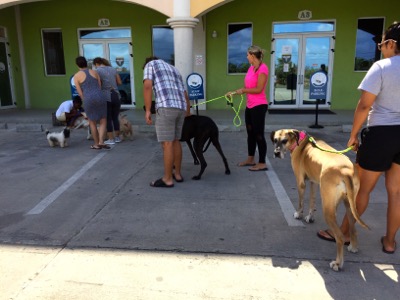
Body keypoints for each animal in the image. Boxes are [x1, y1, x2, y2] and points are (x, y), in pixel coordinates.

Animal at [270, 129, 368, 272]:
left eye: (284, 141)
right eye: (275, 140)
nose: (276, 153)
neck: (300, 142)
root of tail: (345, 171)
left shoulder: (300, 183)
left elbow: (301, 202)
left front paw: (298, 214)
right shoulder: (313, 182)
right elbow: (312, 201)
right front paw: (310, 217)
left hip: (328, 210)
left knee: (340, 237)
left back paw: (338, 263)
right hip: (349, 204)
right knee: (353, 227)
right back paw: (354, 247)